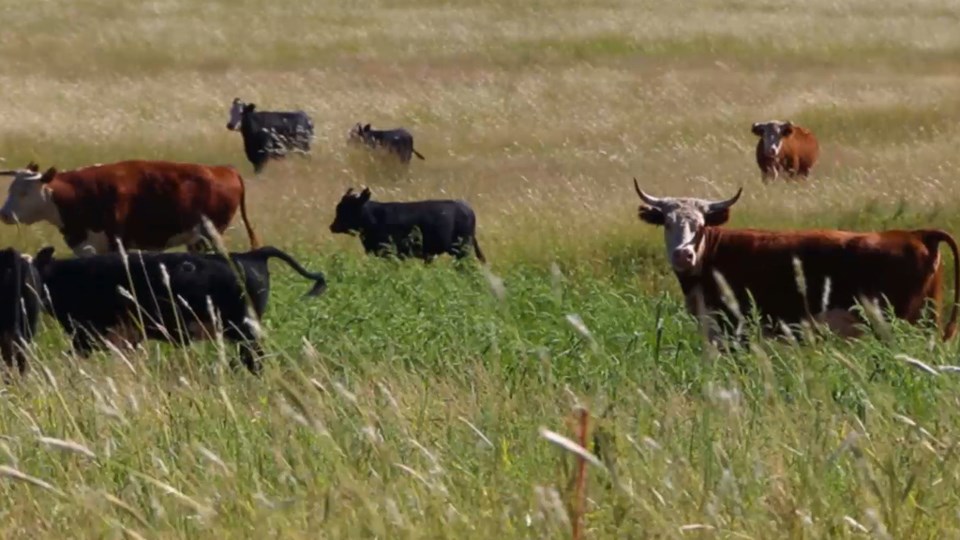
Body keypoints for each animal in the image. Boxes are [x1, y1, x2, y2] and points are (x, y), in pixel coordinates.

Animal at [0, 159, 260, 256]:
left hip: (209, 237)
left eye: (24, 192)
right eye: (10, 189)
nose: (4, 214)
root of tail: (225, 170)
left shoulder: (118, 244)